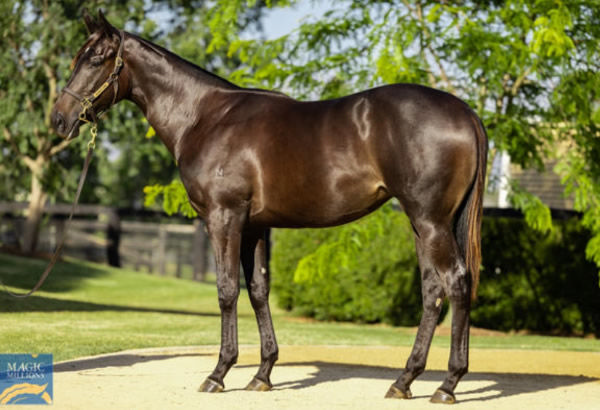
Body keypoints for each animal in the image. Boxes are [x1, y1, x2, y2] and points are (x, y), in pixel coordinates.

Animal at [52, 9, 488, 404]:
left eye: (96, 59)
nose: (59, 119)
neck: (205, 117)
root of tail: (465, 112)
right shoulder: (254, 227)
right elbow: (258, 290)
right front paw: (262, 374)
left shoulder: (224, 218)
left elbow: (227, 290)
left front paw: (219, 372)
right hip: (424, 224)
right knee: (432, 290)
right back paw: (404, 380)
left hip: (430, 221)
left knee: (456, 282)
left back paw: (448, 384)